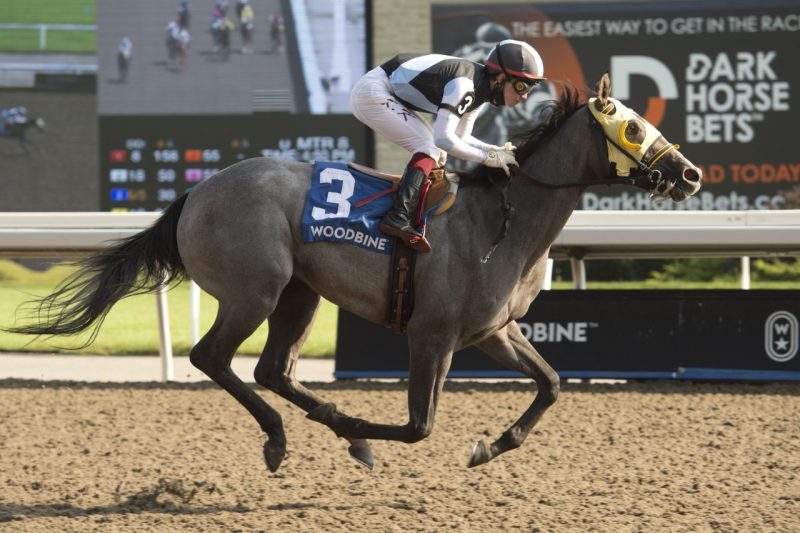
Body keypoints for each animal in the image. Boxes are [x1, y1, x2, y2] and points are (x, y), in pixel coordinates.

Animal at [9, 75, 704, 470]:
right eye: (633, 126)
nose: (690, 173)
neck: (501, 222)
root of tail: (197, 191)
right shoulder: (432, 335)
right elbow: (420, 426)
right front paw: (365, 435)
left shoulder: (492, 331)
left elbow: (553, 383)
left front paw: (489, 447)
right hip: (255, 290)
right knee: (213, 358)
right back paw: (284, 438)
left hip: (300, 293)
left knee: (270, 369)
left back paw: (312, 428)